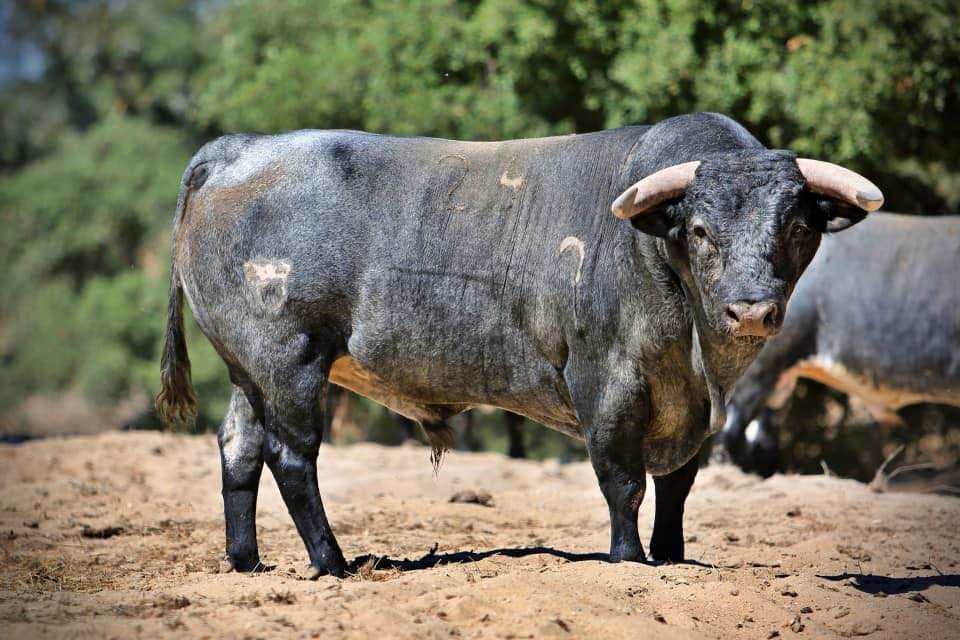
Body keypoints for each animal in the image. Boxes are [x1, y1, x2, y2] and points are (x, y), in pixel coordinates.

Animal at [155, 112, 882, 578]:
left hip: (251, 372)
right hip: (291, 361)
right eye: (700, 230)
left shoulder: (693, 405)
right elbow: (623, 482)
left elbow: (676, 486)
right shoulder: (606, 383)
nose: (752, 308)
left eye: (795, 225)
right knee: (291, 457)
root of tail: (240, 149)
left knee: (240, 448)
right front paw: (629, 559)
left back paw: (248, 562)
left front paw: (672, 556)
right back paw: (331, 562)